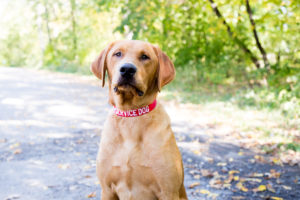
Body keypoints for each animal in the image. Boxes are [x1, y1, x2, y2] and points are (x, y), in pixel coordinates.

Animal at [91, 39, 188, 199]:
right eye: (117, 53)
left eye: (144, 56)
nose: (127, 69)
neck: (131, 116)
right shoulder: (107, 190)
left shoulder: (168, 191)